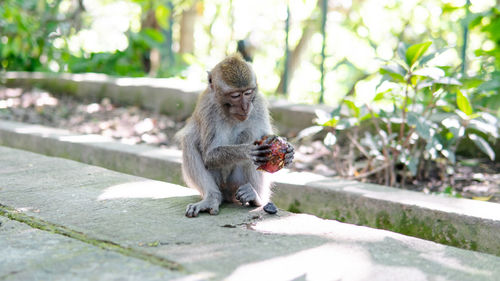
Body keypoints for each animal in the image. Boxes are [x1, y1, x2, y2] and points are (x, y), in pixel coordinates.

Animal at [175, 54, 292, 217]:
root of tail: (228, 194)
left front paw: (288, 152)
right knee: (189, 140)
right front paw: (247, 150)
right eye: (235, 95)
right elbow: (209, 154)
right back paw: (212, 198)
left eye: (248, 93)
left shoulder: (258, 103)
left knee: (250, 132)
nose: (245, 106)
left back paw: (256, 196)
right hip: (221, 184)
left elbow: (264, 134)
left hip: (237, 182)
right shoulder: (207, 108)